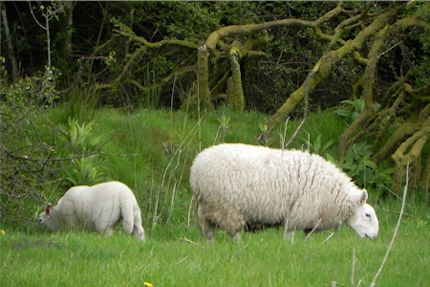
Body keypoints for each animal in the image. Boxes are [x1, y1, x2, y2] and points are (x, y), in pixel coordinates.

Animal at [190, 143, 378, 241]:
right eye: (367, 215)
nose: (375, 237)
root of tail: (196, 168)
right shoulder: (298, 215)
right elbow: (289, 238)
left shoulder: (309, 220)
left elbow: (307, 239)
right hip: (227, 207)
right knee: (234, 232)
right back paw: (240, 246)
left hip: (206, 207)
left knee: (209, 232)